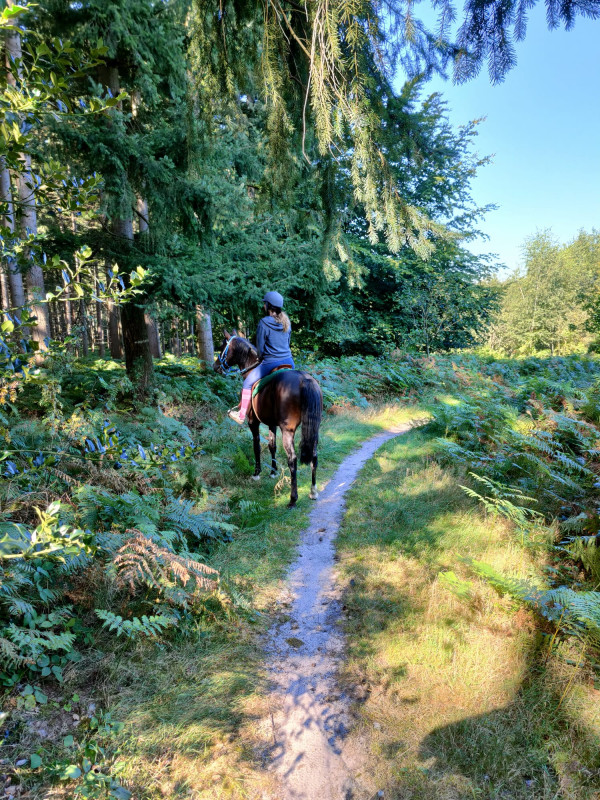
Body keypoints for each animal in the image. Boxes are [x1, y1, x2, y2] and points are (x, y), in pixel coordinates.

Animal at [213, 330, 322, 506]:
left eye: (223, 347)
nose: (215, 366)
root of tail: (305, 379)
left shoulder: (253, 422)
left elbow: (257, 446)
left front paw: (257, 473)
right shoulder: (272, 424)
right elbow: (272, 446)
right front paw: (273, 472)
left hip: (288, 431)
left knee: (292, 460)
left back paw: (293, 498)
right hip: (314, 428)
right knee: (314, 456)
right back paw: (313, 491)